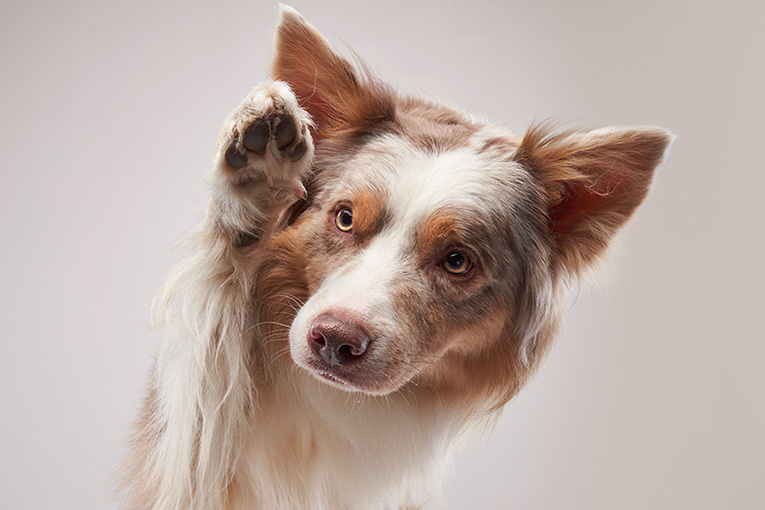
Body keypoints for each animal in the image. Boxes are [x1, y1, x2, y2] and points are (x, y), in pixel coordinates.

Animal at [118, 4, 668, 510]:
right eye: (344, 218)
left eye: (456, 261)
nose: (334, 340)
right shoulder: (184, 465)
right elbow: (207, 364)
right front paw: (255, 179)